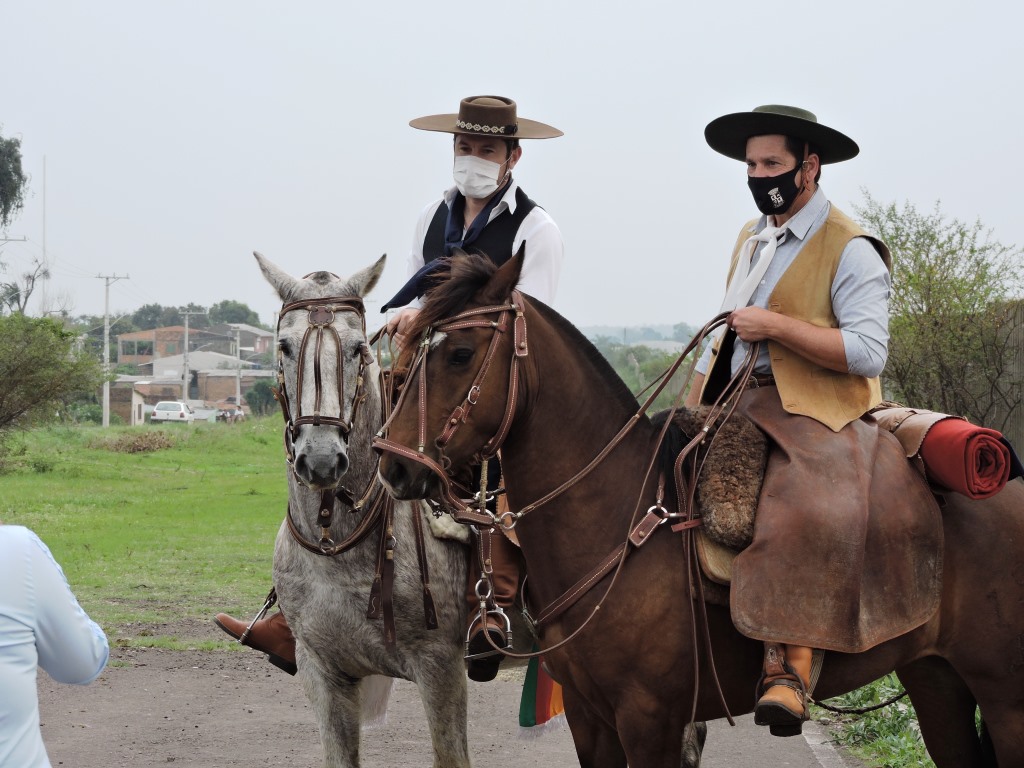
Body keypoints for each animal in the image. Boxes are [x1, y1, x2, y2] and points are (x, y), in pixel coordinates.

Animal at [260, 256, 475, 765]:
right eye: (284, 346)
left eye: (358, 349)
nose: (321, 460)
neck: (336, 543)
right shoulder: (321, 670)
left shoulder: (441, 667)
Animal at [376, 252, 1024, 768]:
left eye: (460, 354)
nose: (393, 466)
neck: (618, 521)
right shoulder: (590, 719)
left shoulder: (650, 721)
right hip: (936, 679)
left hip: (1004, 696)